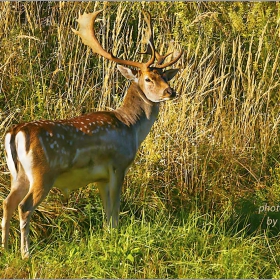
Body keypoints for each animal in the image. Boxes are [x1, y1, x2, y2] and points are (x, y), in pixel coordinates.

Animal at [1, 9, 183, 260]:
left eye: (166, 76)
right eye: (148, 79)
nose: (170, 91)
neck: (130, 128)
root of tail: (15, 132)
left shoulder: (100, 177)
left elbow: (106, 211)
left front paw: (107, 237)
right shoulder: (118, 164)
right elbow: (115, 208)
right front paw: (116, 238)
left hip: (17, 174)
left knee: (7, 203)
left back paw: (5, 249)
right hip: (43, 173)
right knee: (24, 207)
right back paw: (26, 254)